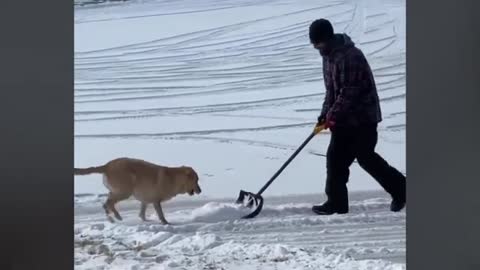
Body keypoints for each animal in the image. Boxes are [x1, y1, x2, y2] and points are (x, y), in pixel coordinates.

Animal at [74, 157, 202, 225]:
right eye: (196, 180)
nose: (200, 191)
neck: (174, 178)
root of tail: (107, 165)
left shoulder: (145, 200)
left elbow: (142, 212)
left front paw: (145, 220)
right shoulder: (156, 201)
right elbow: (161, 214)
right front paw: (166, 223)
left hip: (117, 191)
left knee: (106, 203)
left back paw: (110, 217)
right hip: (124, 192)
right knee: (109, 203)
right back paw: (116, 216)